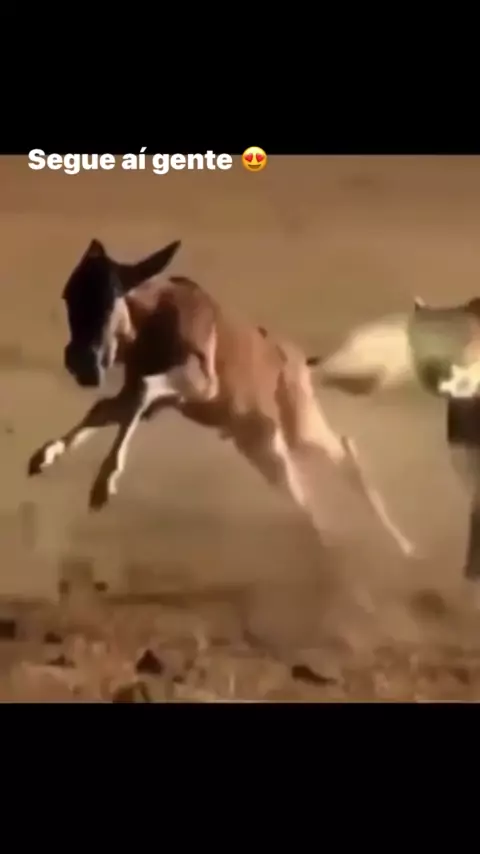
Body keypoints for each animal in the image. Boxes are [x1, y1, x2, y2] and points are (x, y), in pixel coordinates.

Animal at [27, 238, 415, 558]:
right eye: (69, 295)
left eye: (113, 297)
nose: (83, 365)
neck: (155, 317)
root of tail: (304, 363)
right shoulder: (152, 398)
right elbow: (105, 408)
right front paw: (41, 458)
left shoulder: (198, 384)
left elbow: (141, 392)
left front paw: (102, 488)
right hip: (263, 449)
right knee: (304, 497)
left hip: (298, 429)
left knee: (345, 454)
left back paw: (403, 547)